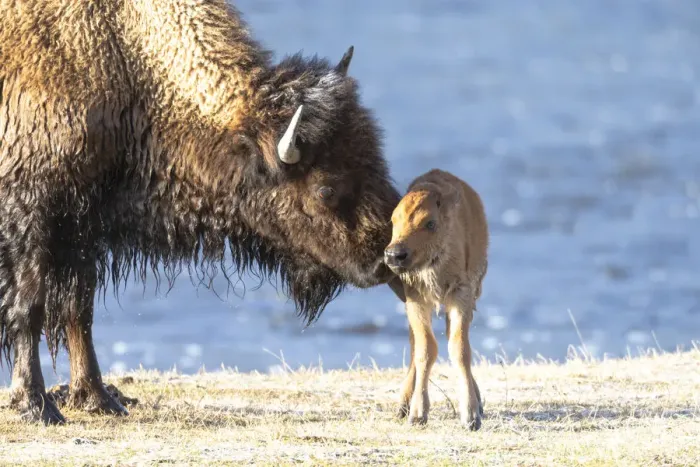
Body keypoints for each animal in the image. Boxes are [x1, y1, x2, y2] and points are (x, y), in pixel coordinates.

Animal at [0, 0, 404, 425]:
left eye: (375, 157)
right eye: (325, 188)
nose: (385, 258)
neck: (126, 58)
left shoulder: (83, 227)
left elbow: (80, 310)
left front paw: (98, 398)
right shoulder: (32, 218)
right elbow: (29, 307)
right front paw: (35, 405)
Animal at [384, 169, 489, 430]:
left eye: (430, 223)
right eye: (393, 221)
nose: (394, 255)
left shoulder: (461, 295)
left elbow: (460, 348)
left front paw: (471, 416)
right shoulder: (416, 298)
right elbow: (425, 349)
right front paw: (417, 414)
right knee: (416, 345)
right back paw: (403, 406)